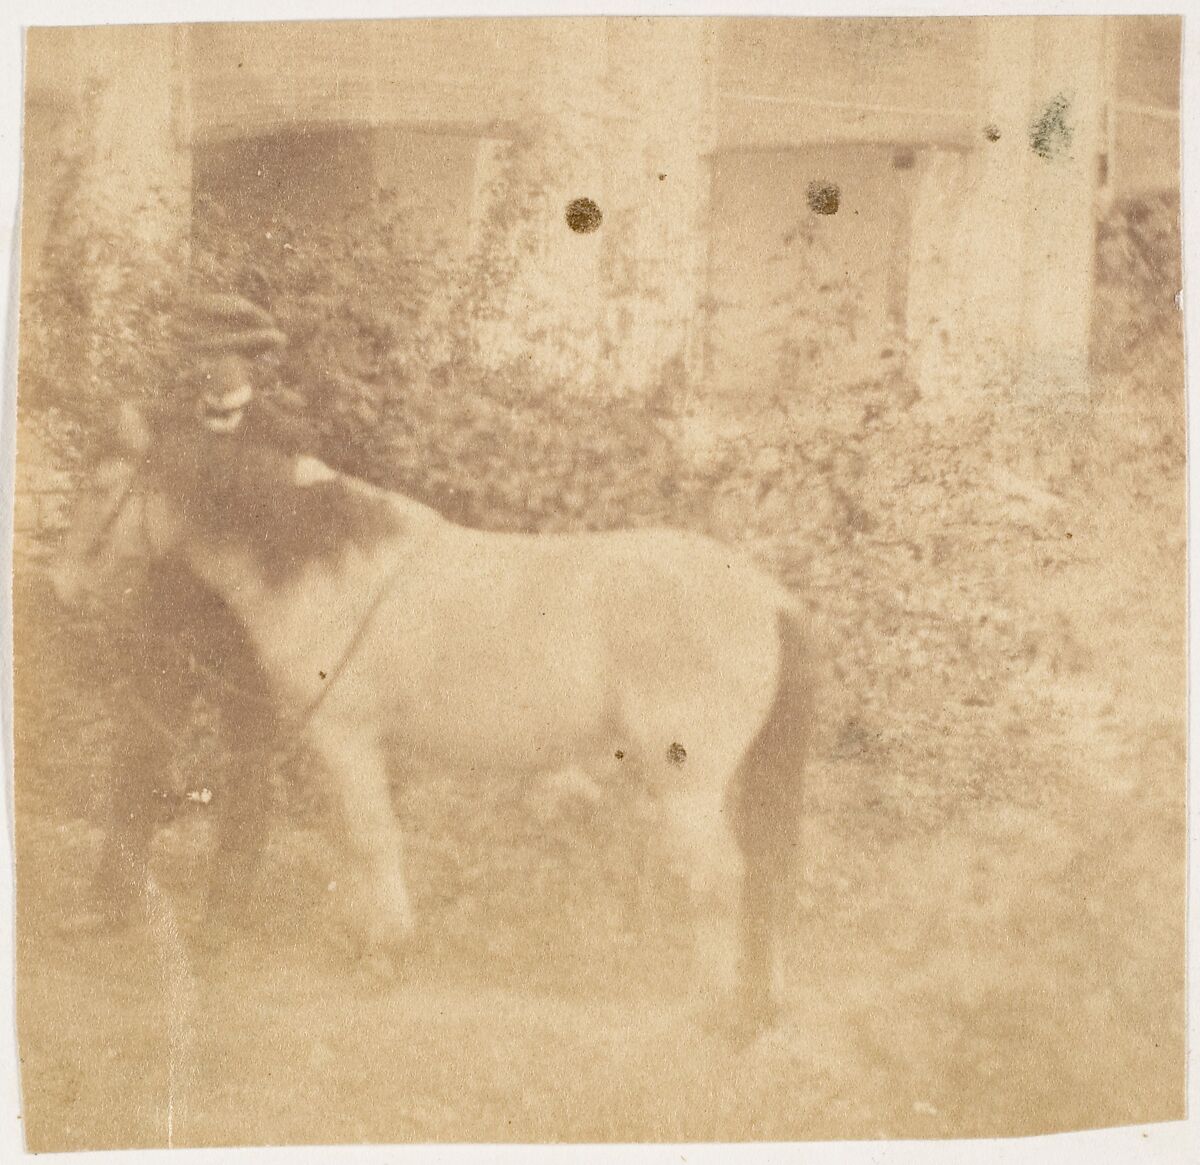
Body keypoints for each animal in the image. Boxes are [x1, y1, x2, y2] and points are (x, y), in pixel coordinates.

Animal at [54, 405, 816, 1031]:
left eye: (97, 486)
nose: (60, 585)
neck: (329, 569)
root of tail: (769, 595)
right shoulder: (353, 747)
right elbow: (359, 839)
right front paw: (362, 937)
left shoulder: (349, 737)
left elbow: (370, 839)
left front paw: (385, 951)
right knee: (766, 874)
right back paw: (764, 1002)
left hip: (689, 782)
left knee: (723, 878)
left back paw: (714, 1007)